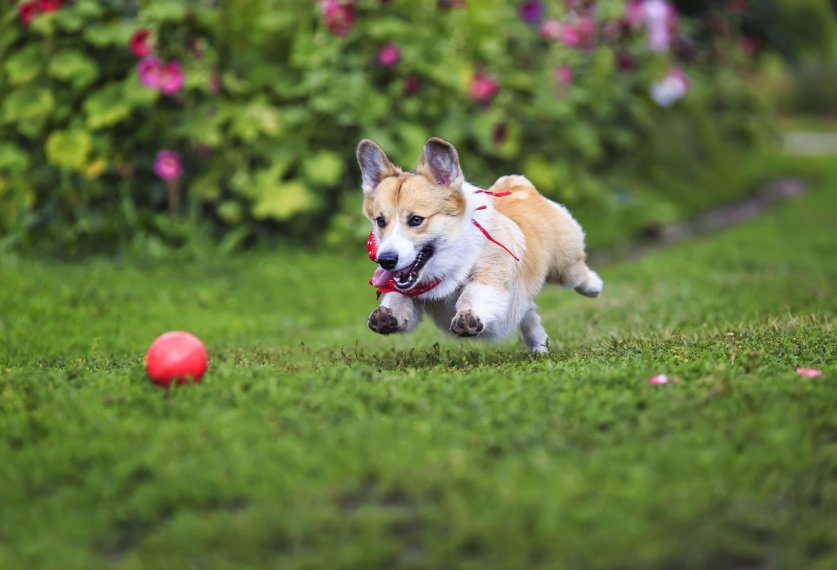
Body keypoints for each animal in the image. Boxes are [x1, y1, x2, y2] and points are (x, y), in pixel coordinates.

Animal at [354, 138, 600, 350]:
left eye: (416, 220)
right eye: (380, 221)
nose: (385, 260)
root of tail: (520, 187)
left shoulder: (490, 274)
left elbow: (472, 294)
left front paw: (467, 318)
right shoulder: (407, 292)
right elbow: (398, 300)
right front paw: (385, 315)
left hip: (566, 266)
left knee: (579, 274)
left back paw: (595, 287)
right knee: (528, 314)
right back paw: (538, 346)